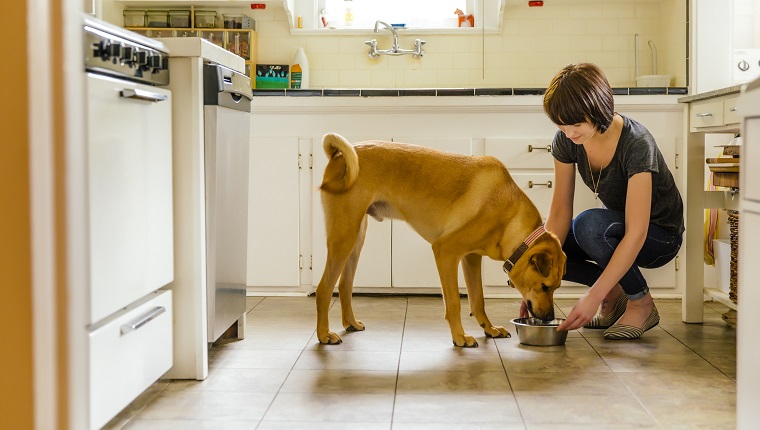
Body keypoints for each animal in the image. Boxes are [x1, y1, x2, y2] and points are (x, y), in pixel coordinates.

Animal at [314, 133, 564, 348]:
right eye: (545, 286)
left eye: (556, 287)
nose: (549, 318)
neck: (508, 215)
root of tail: (339, 155)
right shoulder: (446, 252)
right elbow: (453, 302)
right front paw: (460, 337)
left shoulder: (471, 259)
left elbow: (478, 299)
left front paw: (489, 328)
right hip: (343, 237)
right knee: (324, 289)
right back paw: (324, 334)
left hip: (356, 238)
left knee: (344, 285)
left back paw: (350, 323)